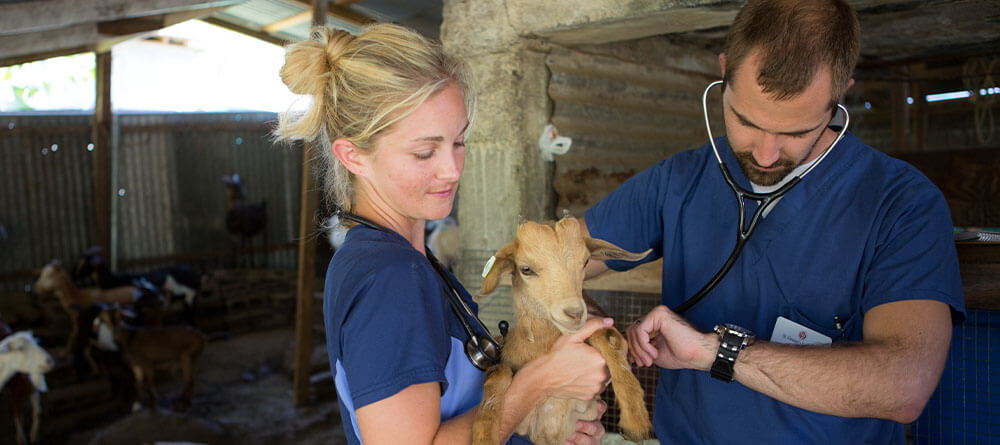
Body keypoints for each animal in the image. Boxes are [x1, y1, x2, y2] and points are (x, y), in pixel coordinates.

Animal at [473, 217, 652, 445]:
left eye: (586, 261)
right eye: (526, 269)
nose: (575, 313)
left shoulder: (584, 410)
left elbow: (606, 335)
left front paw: (635, 420)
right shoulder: (523, 427)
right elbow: (498, 372)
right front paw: (484, 437)